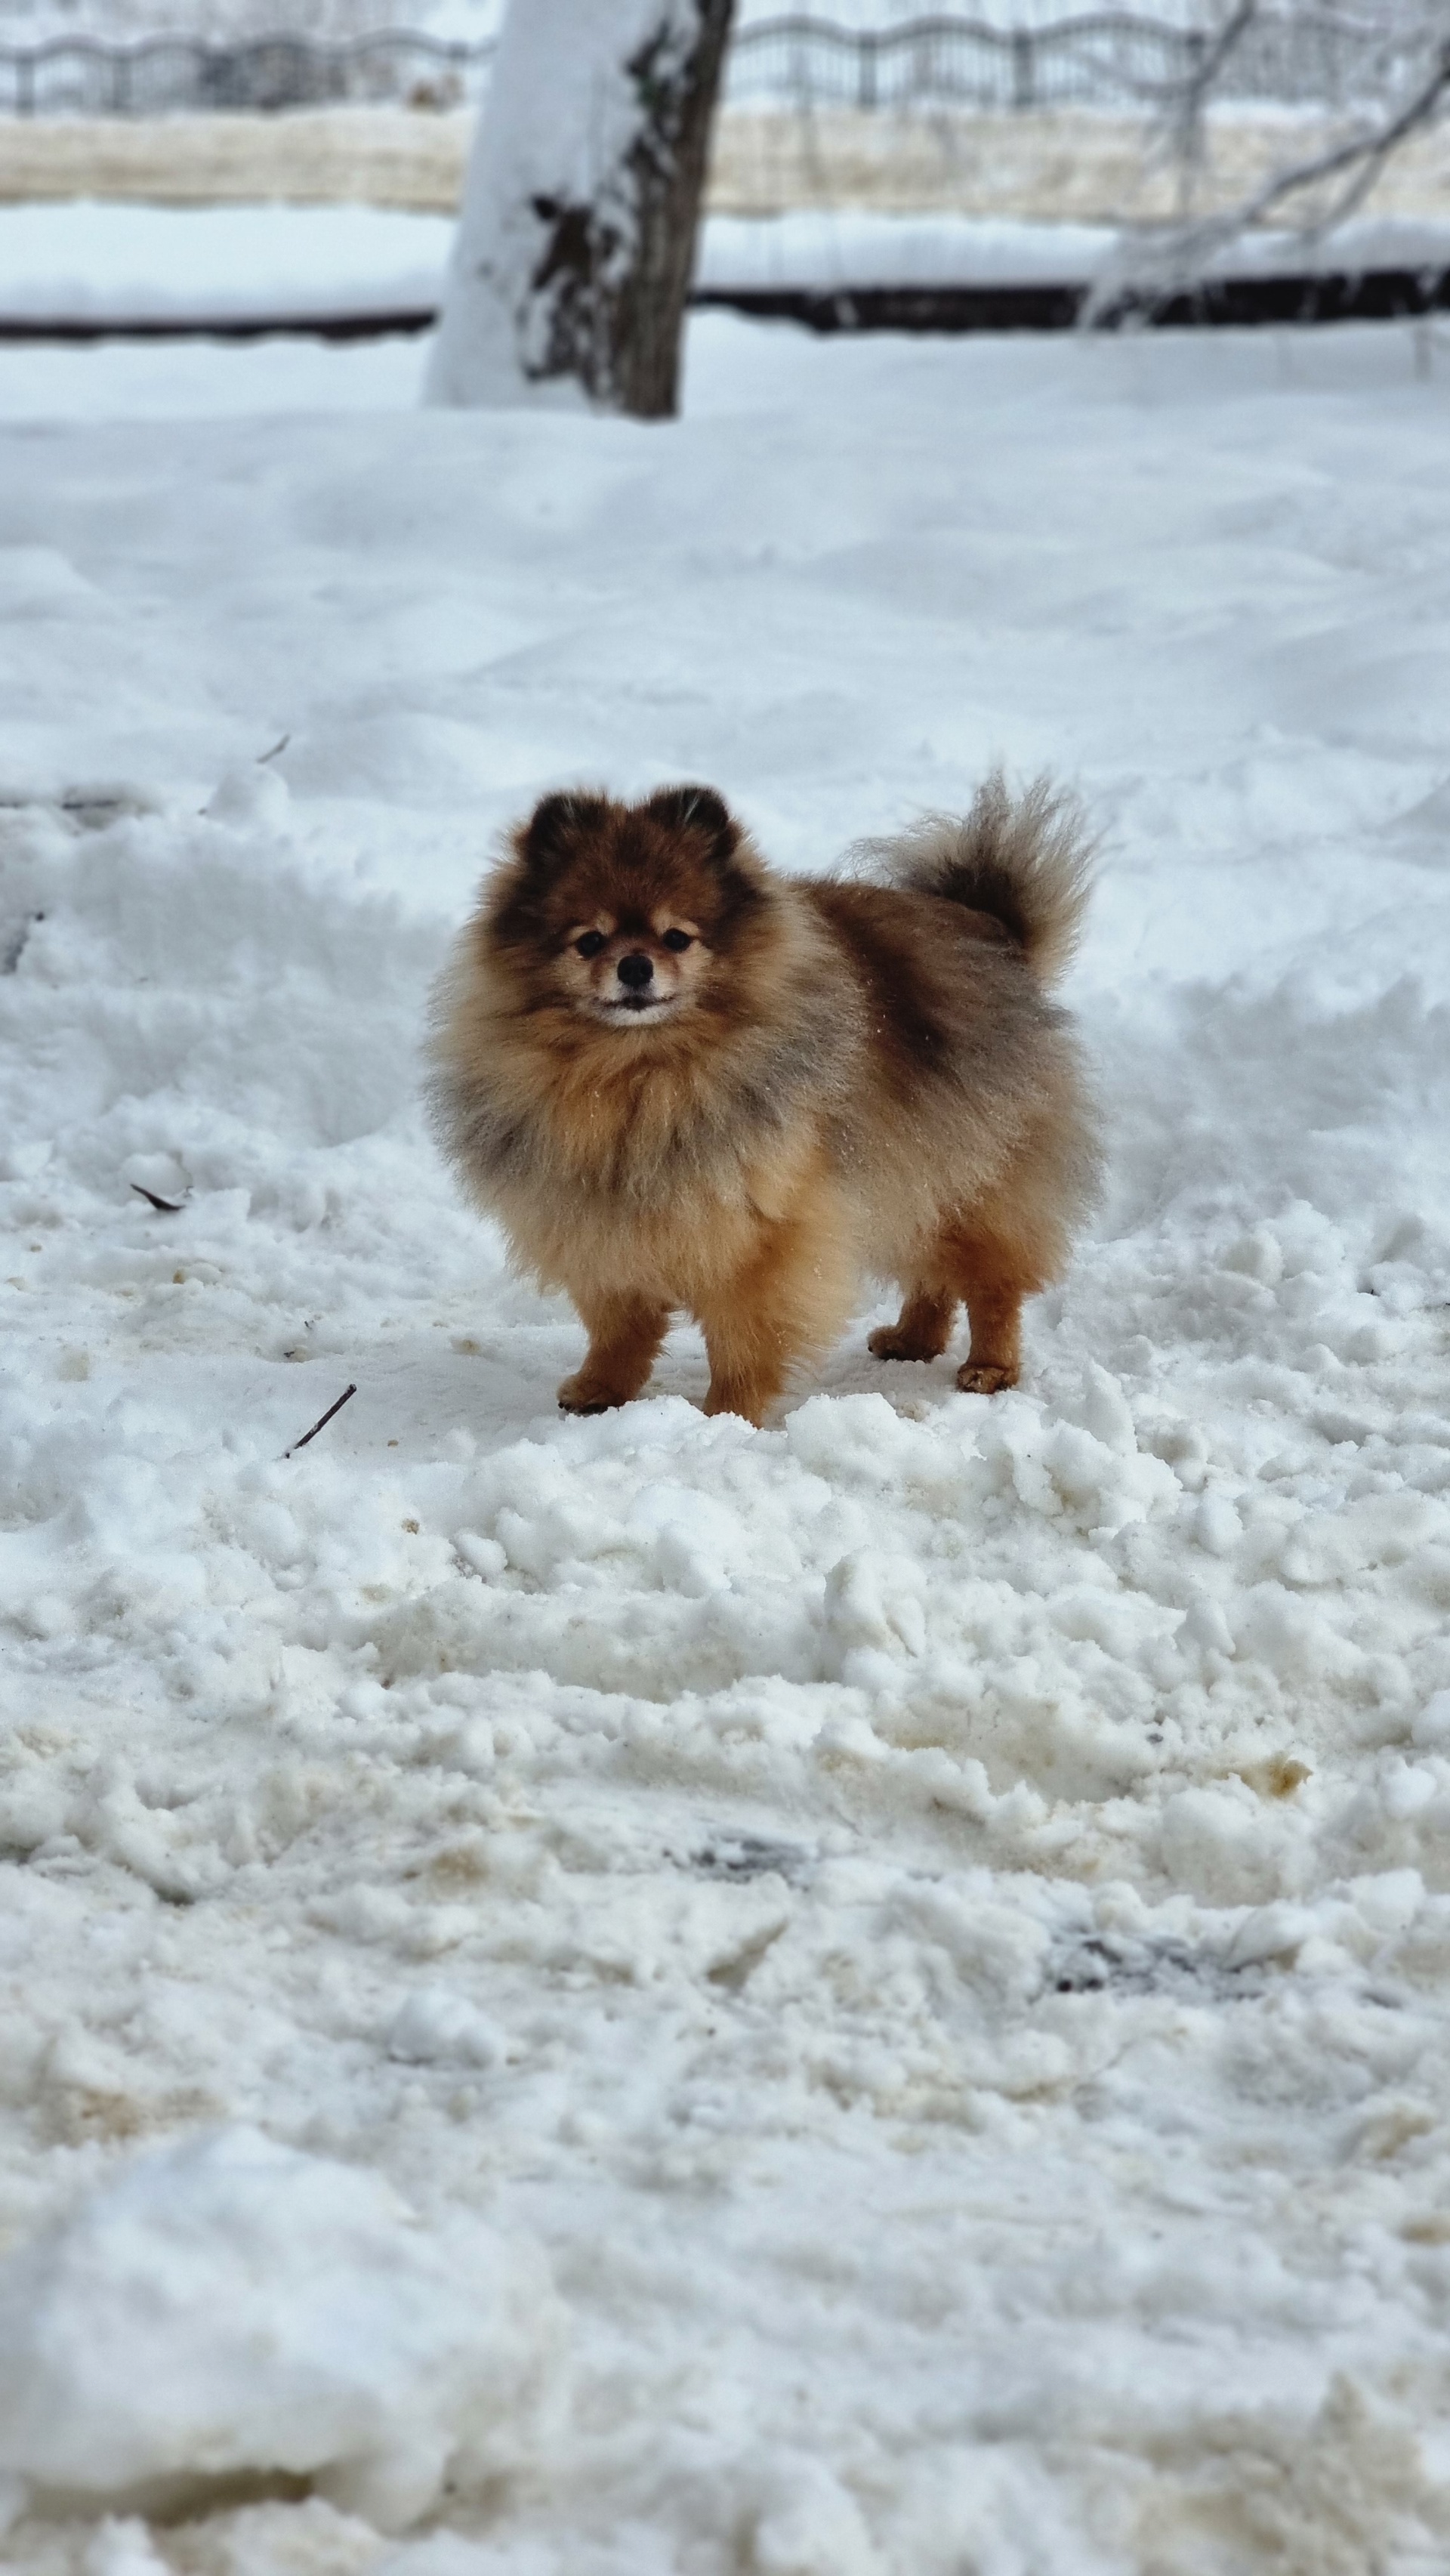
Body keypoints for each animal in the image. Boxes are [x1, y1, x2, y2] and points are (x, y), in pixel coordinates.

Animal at [427, 783, 1102, 1432]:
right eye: (588, 941)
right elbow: (619, 1324)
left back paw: (990, 1366)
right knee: (931, 1269)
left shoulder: (760, 1240)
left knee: (992, 1283)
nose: (635, 965)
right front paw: (603, 1388)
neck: (635, 1075)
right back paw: (913, 1339)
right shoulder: (599, 1225)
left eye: (678, 938)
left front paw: (727, 1415)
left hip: (975, 1179)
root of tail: (994, 931)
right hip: (912, 1172)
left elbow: (743, 1340)